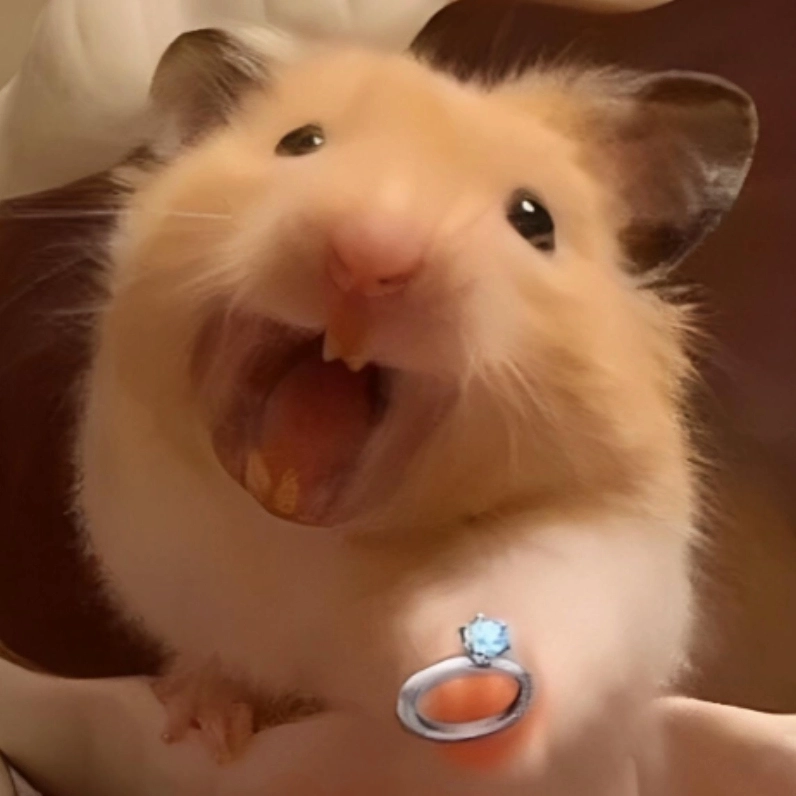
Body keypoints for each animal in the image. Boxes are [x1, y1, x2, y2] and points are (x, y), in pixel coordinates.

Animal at [73, 26, 757, 794]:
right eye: (299, 142)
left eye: (535, 221)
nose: (371, 257)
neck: (312, 540)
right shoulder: (161, 545)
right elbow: (217, 656)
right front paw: (203, 729)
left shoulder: (605, 541)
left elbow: (525, 601)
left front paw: (475, 719)